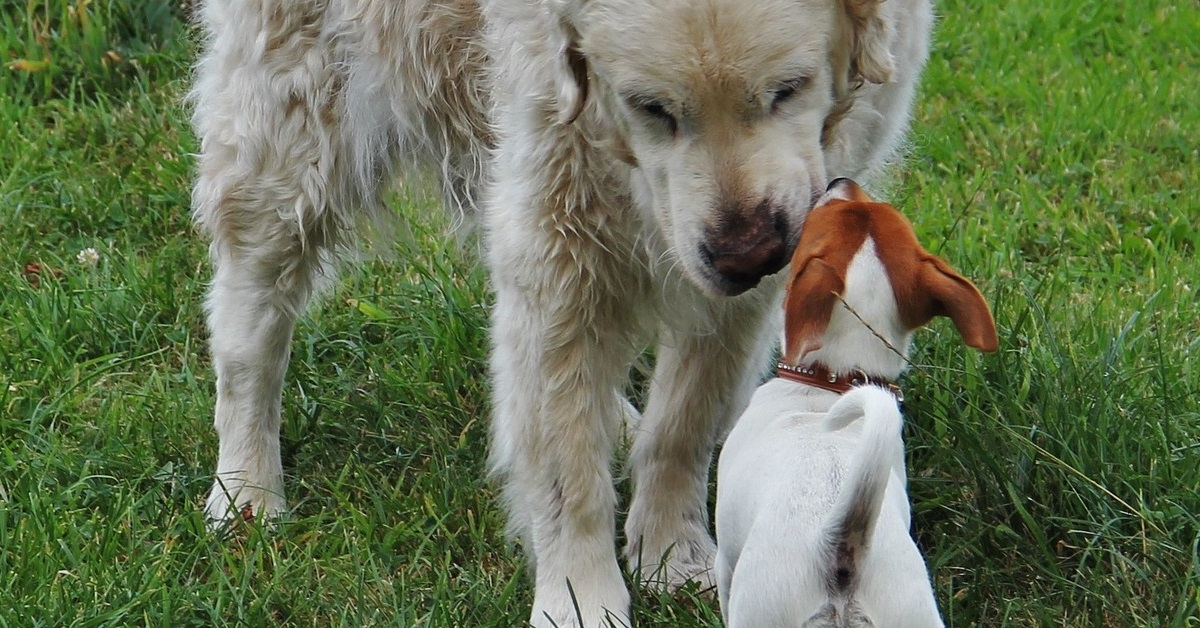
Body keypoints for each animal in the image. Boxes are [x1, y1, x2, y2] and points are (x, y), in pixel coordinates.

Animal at [715, 176, 998, 628]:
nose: (839, 180)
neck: (834, 380)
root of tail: (841, 546)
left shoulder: (724, 558)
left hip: (761, 606)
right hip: (914, 611)